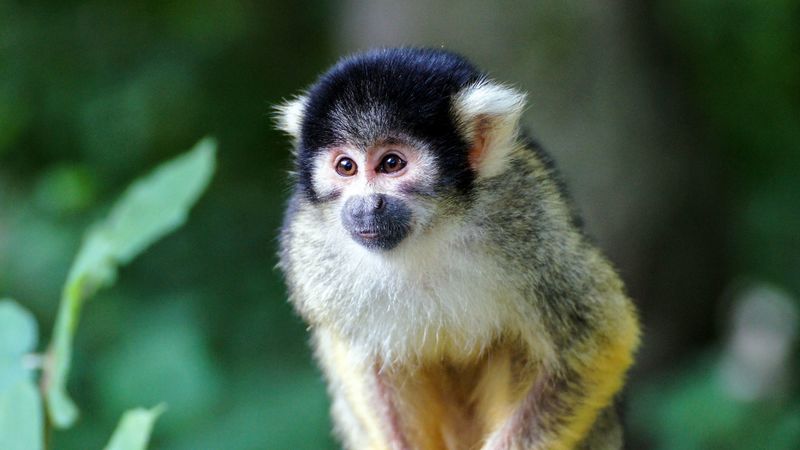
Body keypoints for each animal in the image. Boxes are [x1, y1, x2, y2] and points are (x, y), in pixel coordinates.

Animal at [275, 48, 640, 450]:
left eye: (391, 163)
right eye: (346, 166)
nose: (365, 206)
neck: (427, 233)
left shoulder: (528, 213)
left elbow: (597, 339)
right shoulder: (307, 243)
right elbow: (366, 360)